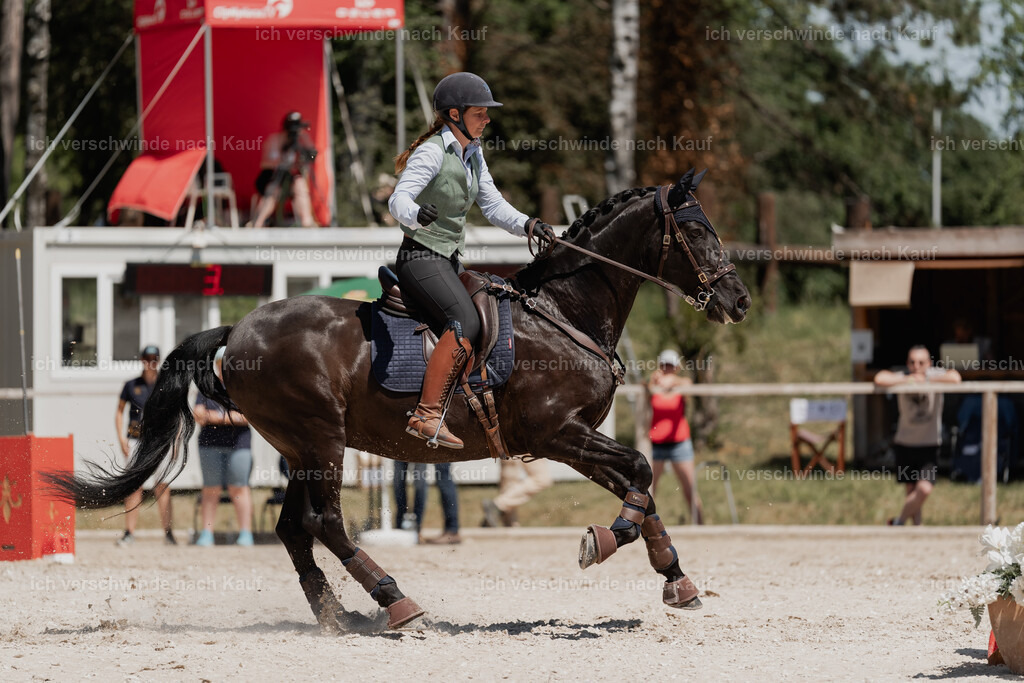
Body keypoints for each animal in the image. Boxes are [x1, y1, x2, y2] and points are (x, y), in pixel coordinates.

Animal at [48, 169, 750, 632]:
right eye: (697, 231)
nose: (739, 301)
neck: (563, 313)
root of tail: (239, 328)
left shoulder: (575, 439)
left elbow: (641, 481)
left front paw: (675, 576)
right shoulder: (556, 433)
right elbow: (641, 470)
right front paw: (604, 540)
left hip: (301, 446)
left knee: (293, 527)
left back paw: (337, 613)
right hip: (321, 439)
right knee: (325, 523)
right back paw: (396, 602)